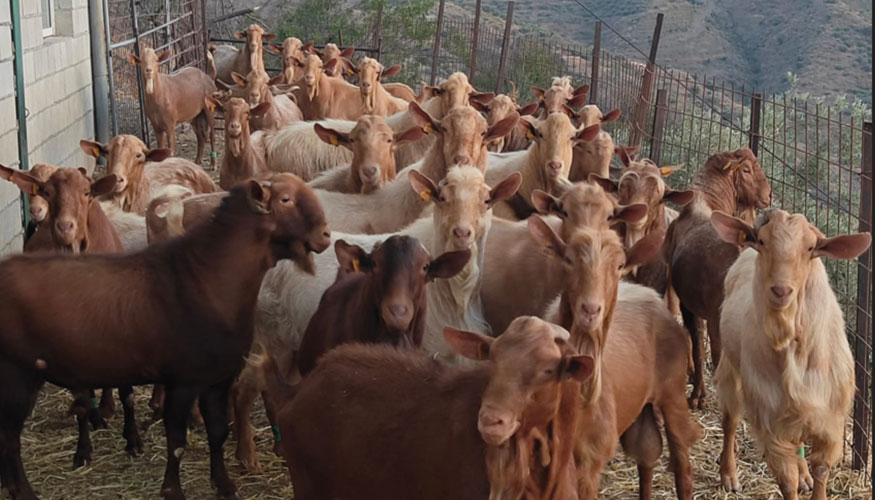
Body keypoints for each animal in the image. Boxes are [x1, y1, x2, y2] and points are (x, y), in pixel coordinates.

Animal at [0, 173, 330, 500]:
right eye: (285, 200)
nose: (325, 236)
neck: (208, 278)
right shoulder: (182, 380)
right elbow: (177, 440)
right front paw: (173, 489)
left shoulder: (217, 379)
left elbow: (218, 432)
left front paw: (223, 484)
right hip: (16, 374)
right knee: (10, 440)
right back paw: (24, 492)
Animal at [712, 210, 868, 500]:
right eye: (762, 241)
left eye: (810, 248)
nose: (781, 291)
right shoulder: (771, 421)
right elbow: (787, 481)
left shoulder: (830, 420)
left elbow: (821, 470)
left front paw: (811, 479)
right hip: (731, 367)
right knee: (730, 420)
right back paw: (728, 474)